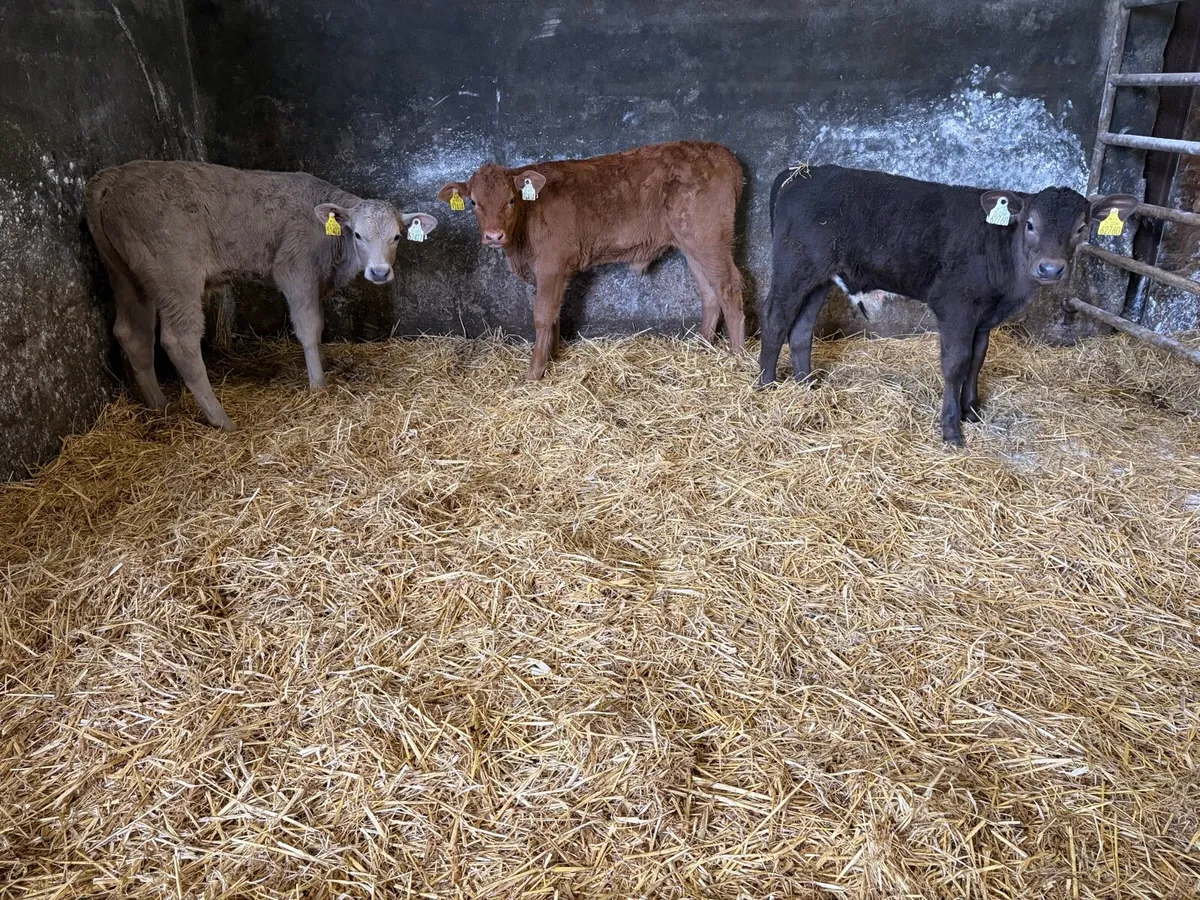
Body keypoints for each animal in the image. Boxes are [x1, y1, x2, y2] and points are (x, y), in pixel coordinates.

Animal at [85, 160, 439, 430]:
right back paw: (221, 419)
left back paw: (160, 406)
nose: (379, 272)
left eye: (397, 236)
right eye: (358, 235)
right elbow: (309, 328)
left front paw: (323, 364)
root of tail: (113, 177)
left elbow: (319, 324)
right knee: (178, 341)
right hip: (175, 276)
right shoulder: (295, 271)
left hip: (128, 276)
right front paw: (318, 386)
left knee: (133, 334)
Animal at [437, 141, 746, 381]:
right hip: (692, 245)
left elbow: (542, 316)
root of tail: (721, 153)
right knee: (709, 292)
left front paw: (535, 372)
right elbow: (556, 313)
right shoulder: (554, 272)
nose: (493, 236)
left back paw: (738, 356)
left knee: (730, 288)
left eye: (511, 200)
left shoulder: (551, 266)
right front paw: (553, 355)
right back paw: (703, 347)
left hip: (709, 239)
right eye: (474, 202)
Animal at [759, 164, 1138, 444]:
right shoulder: (956, 306)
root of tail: (800, 170)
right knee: (775, 320)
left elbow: (977, 361)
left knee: (801, 328)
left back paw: (807, 387)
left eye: (1082, 227)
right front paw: (952, 429)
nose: (1050, 268)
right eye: (1030, 224)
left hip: (820, 277)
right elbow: (956, 364)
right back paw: (766, 385)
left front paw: (971, 412)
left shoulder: (984, 316)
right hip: (794, 266)